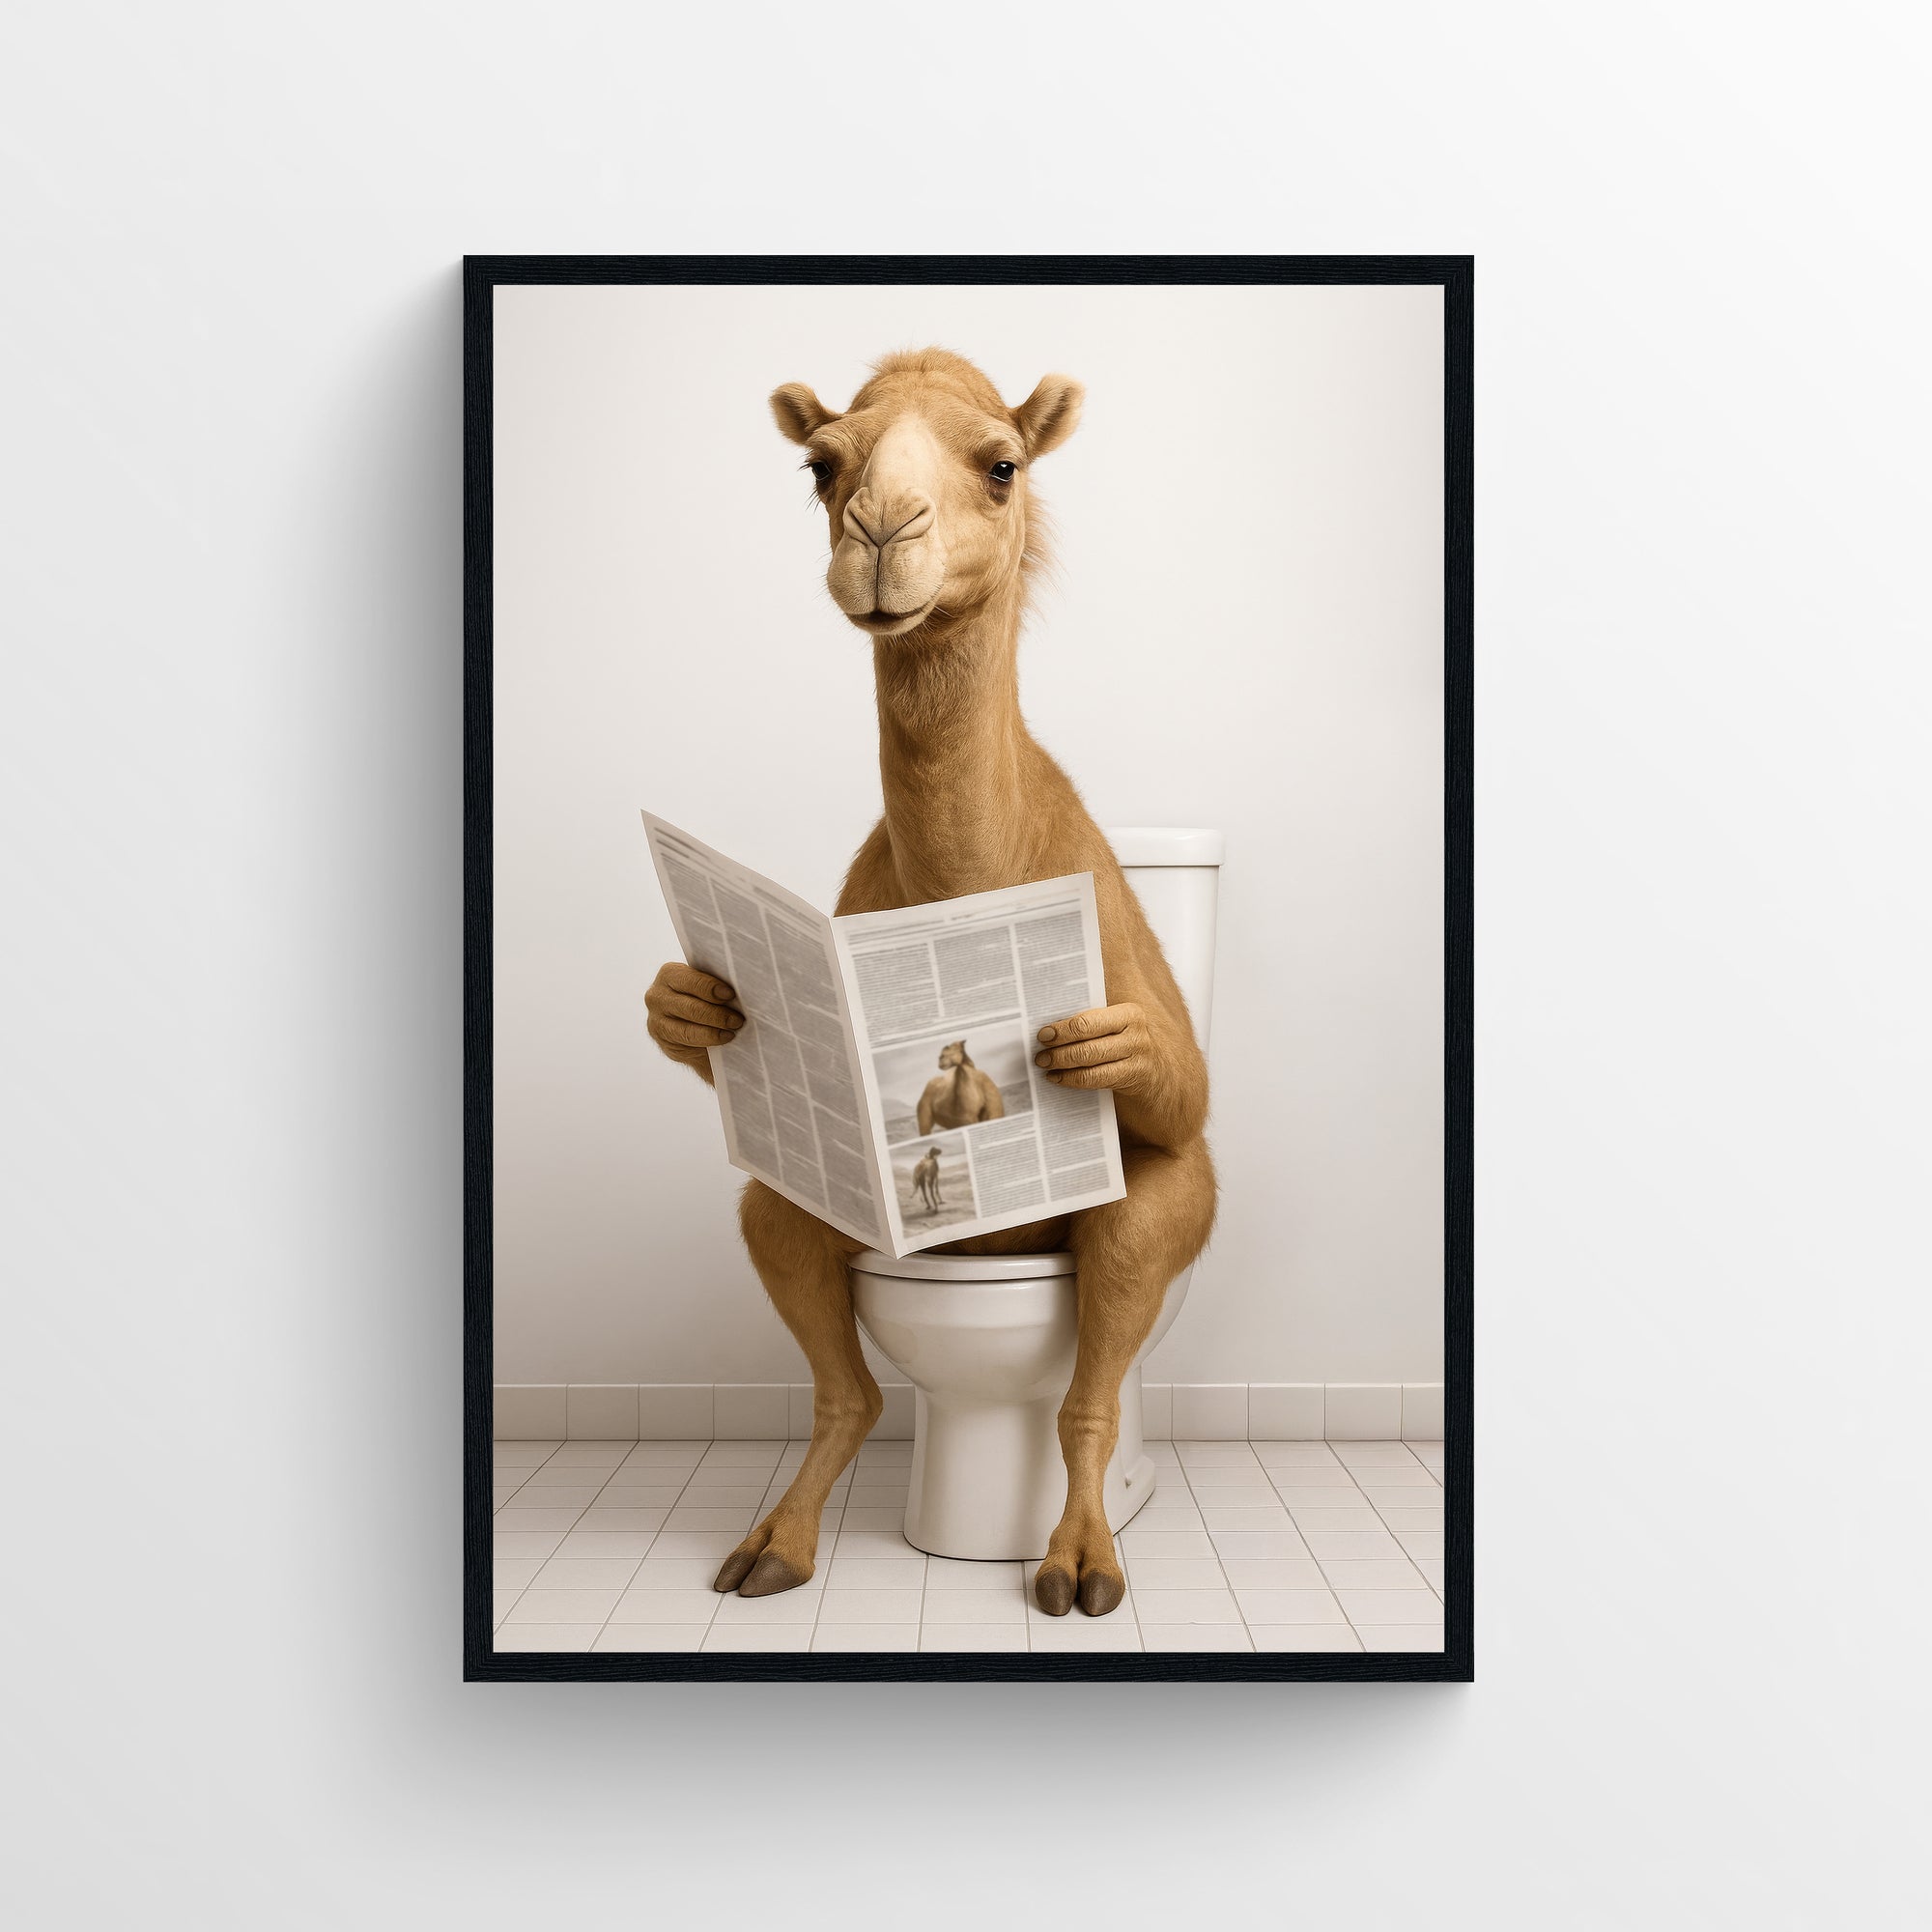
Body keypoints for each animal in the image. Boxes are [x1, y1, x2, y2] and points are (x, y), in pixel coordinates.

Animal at [644, 346, 1216, 1616]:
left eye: (999, 464)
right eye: (820, 467)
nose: (880, 532)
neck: (968, 874)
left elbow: (1189, 1090)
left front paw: (1102, 1046)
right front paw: (687, 1004)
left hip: (1141, 1218)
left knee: (1095, 1362)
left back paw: (1078, 1561)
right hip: (853, 1218)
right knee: (808, 1284)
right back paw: (774, 1544)